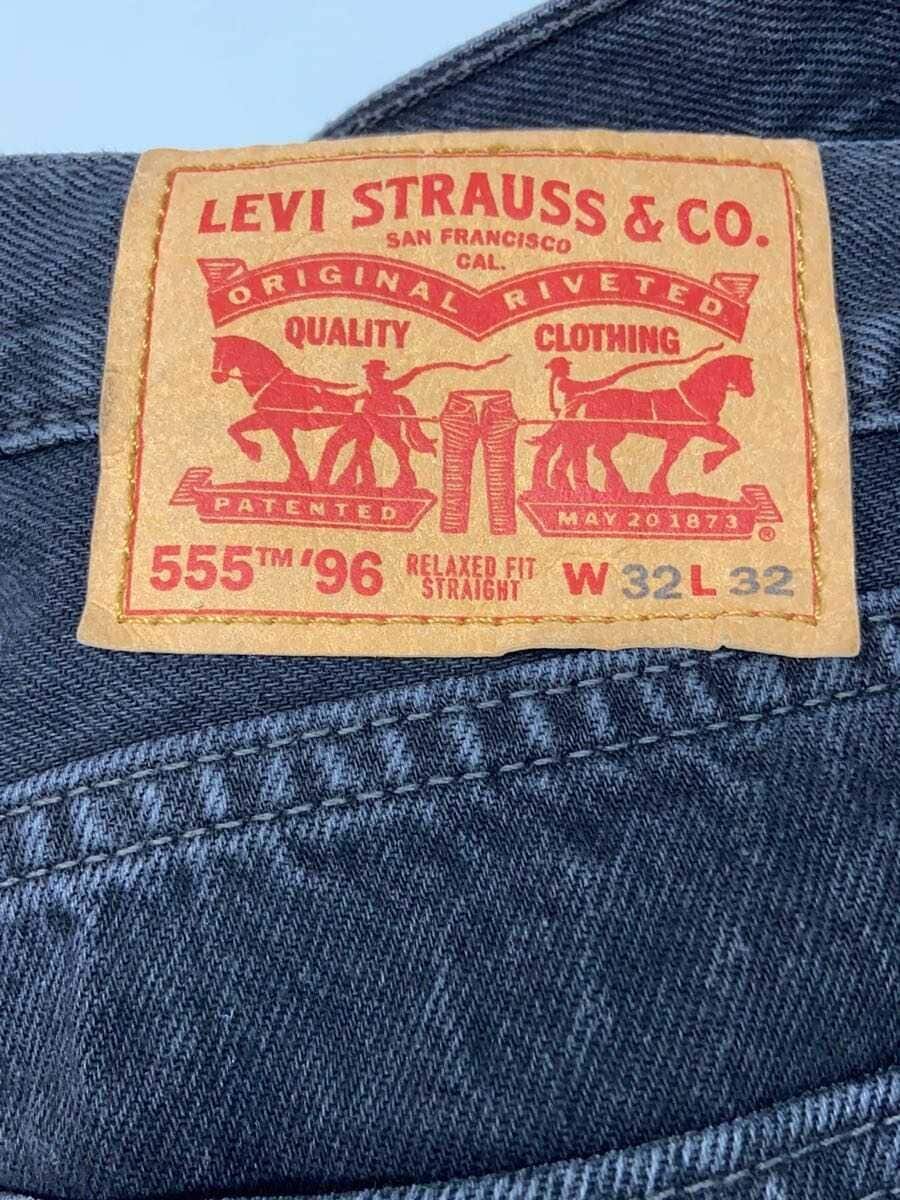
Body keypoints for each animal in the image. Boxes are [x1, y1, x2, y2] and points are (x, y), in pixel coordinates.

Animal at [529, 355, 754, 499]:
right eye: (746, 372)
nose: (749, 392)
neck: (694, 397)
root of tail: (590, 396)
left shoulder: (693, 433)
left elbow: (731, 443)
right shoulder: (686, 434)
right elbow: (673, 458)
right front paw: (708, 464)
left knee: (581, 451)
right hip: (608, 432)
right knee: (594, 452)